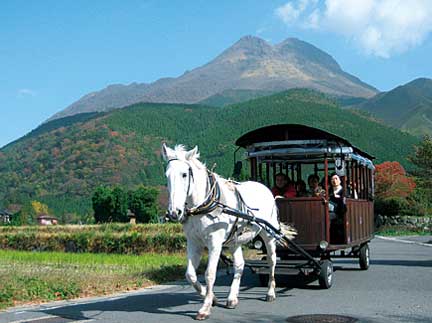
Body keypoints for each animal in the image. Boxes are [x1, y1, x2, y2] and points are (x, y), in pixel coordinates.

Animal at [162, 145, 296, 322]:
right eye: (167, 175)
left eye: (184, 174)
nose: (174, 212)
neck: (204, 205)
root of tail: (264, 188)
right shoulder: (193, 242)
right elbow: (190, 274)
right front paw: (211, 297)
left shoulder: (214, 243)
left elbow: (210, 274)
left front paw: (205, 308)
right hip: (234, 241)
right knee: (239, 264)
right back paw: (232, 298)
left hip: (269, 234)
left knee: (272, 261)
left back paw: (270, 292)